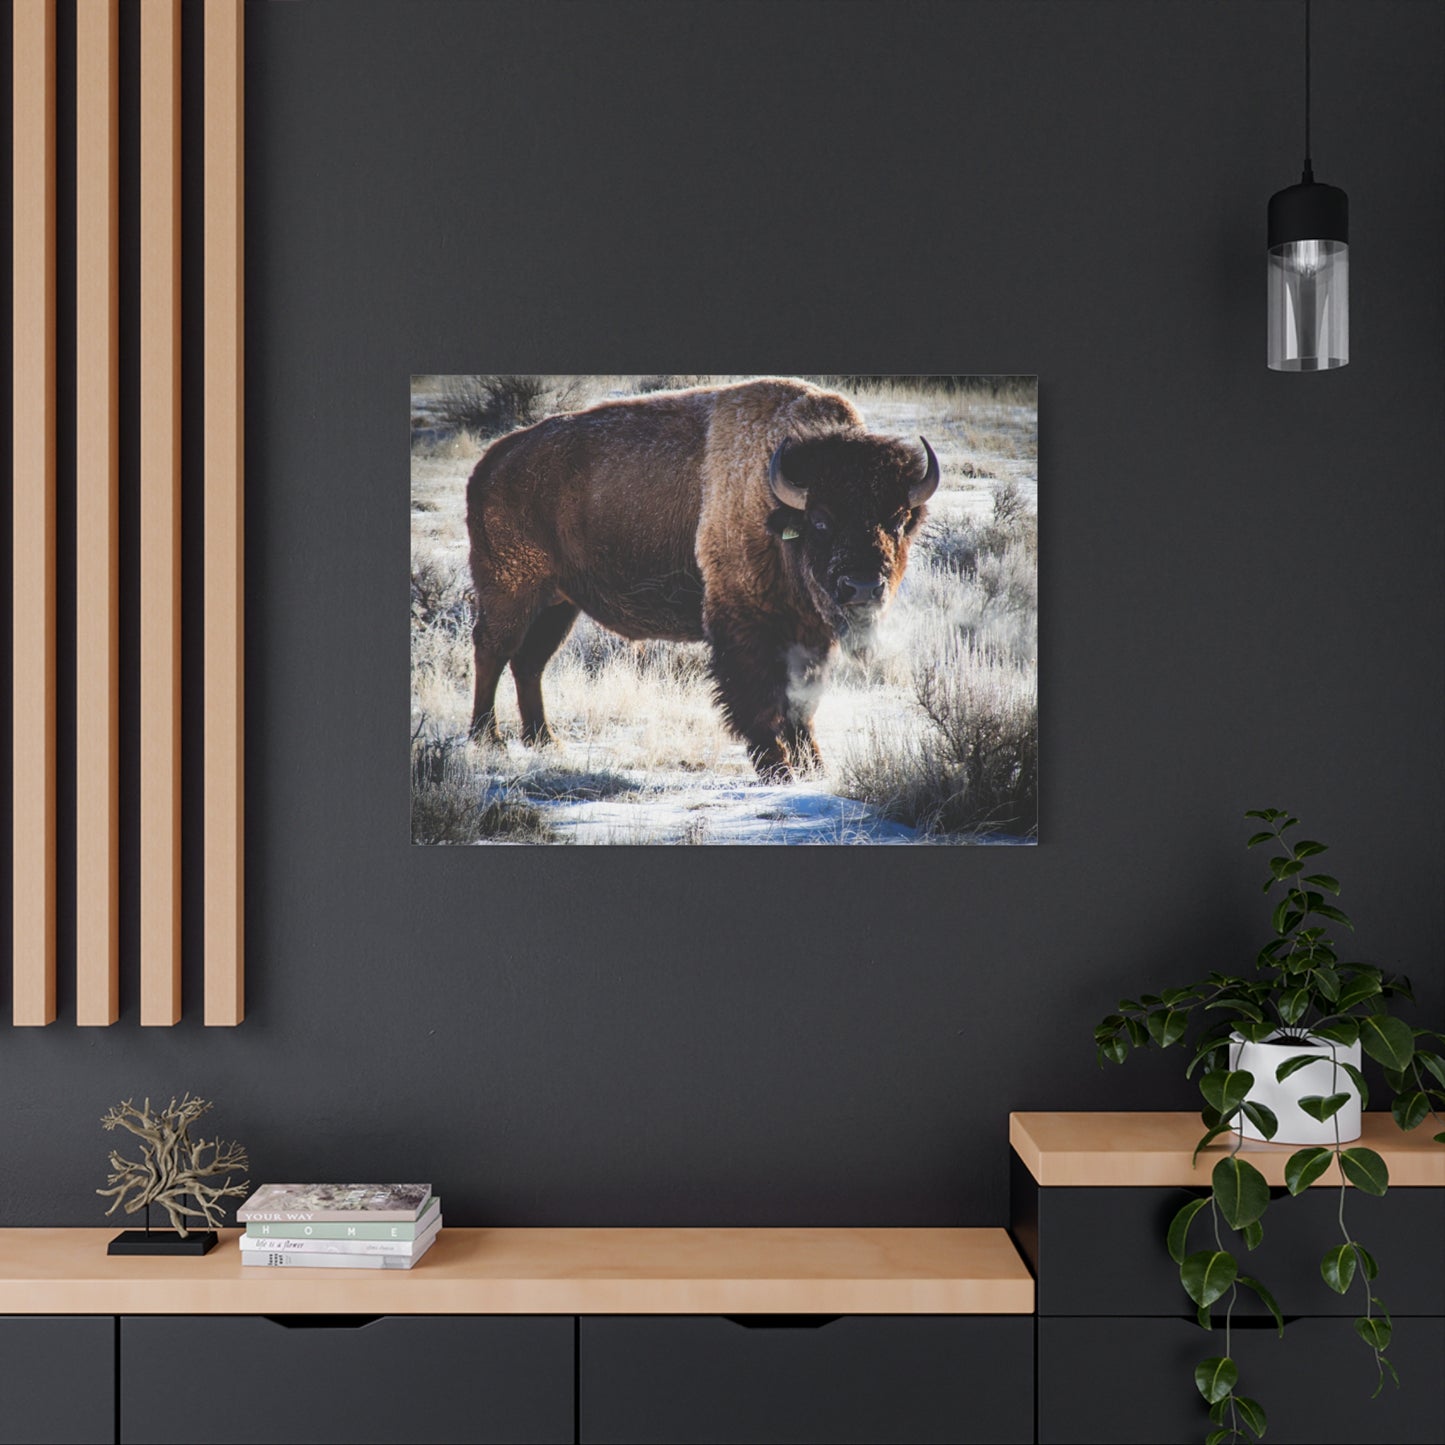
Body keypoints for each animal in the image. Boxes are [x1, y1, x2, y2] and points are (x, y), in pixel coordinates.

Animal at [466, 377, 939, 779]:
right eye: (821, 521)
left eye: (898, 520)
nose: (862, 587)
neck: (776, 506)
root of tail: (492, 462)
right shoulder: (746, 627)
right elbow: (760, 699)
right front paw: (778, 769)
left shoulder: (810, 635)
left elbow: (802, 702)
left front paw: (814, 767)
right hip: (511, 590)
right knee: (493, 651)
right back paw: (488, 738)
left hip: (558, 604)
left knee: (529, 663)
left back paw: (544, 740)